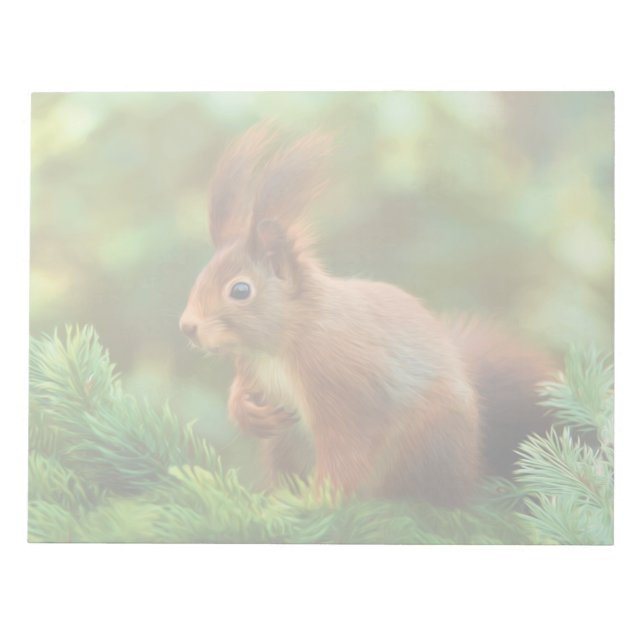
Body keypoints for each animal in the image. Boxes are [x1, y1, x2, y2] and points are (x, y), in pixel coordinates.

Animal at [180, 124, 554, 506]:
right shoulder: (252, 368)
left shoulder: (343, 384)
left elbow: (346, 452)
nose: (188, 327)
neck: (279, 346)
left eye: (240, 290)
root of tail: (470, 470)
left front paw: (318, 503)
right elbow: (242, 391)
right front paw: (245, 411)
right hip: (283, 445)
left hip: (427, 438)